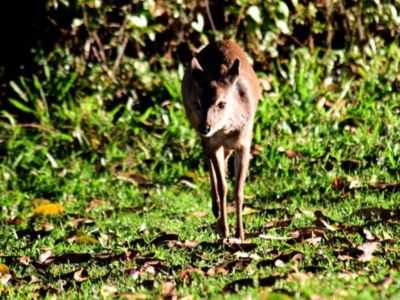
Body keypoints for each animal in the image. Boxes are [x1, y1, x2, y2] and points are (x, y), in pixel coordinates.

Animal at [181, 40, 260, 241]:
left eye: (222, 103)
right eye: (197, 103)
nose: (205, 127)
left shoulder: (244, 143)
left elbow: (239, 189)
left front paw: (240, 233)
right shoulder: (214, 142)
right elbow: (223, 185)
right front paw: (224, 230)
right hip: (205, 137)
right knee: (210, 161)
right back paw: (216, 209)